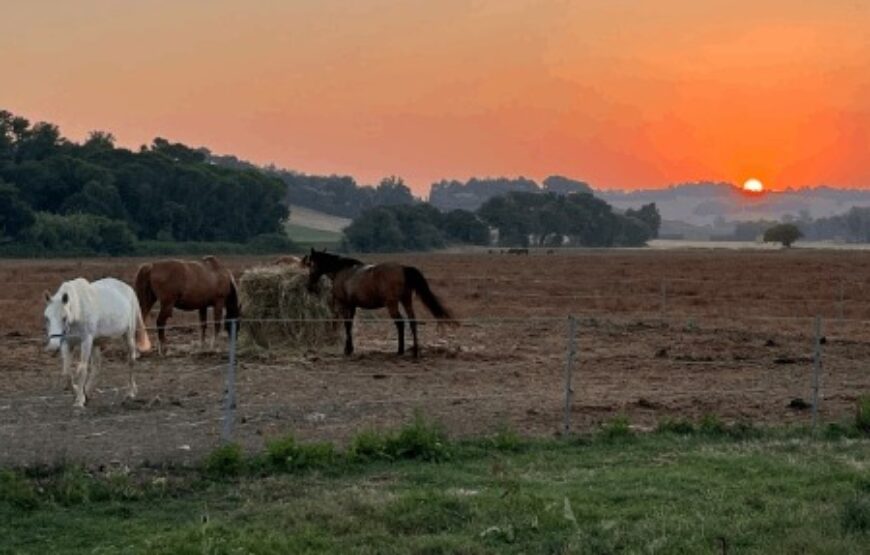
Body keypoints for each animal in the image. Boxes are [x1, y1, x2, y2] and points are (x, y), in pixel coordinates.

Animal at [43, 278, 151, 407]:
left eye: (64, 318)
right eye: (47, 318)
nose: (53, 345)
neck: (79, 310)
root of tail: (129, 289)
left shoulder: (86, 341)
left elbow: (82, 369)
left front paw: (79, 400)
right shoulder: (67, 343)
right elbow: (67, 373)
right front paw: (78, 393)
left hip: (128, 336)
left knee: (131, 361)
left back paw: (130, 392)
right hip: (96, 343)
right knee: (96, 367)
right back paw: (87, 393)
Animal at [307, 249, 456, 357]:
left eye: (310, 264)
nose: (310, 286)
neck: (343, 270)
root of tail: (403, 268)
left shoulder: (344, 304)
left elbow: (347, 325)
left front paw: (347, 349)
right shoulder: (353, 306)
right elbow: (350, 324)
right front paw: (350, 348)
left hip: (392, 304)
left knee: (400, 323)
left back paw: (400, 350)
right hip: (406, 301)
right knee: (412, 321)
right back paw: (414, 351)